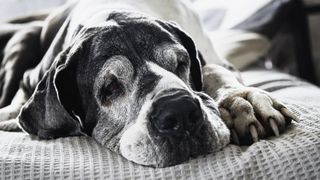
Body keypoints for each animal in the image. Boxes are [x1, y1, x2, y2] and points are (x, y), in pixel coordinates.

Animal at [0, 0, 298, 167]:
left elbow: (215, 71)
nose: (179, 111)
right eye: (109, 88)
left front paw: (242, 100)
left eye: (181, 63)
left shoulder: (214, 60)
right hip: (21, 42)